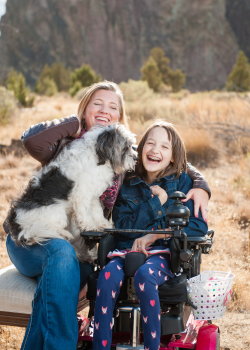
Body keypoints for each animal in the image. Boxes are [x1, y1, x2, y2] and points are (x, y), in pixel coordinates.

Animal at [5, 124, 137, 262]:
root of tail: (16, 226)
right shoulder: (81, 194)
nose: (135, 157)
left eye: (131, 146)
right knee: (45, 230)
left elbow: (97, 212)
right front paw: (90, 226)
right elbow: (85, 214)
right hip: (56, 214)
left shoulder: (93, 195)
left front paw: (103, 224)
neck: (98, 155)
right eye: (125, 147)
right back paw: (65, 234)